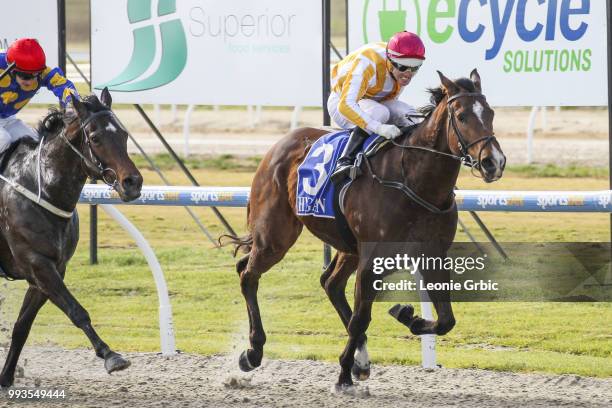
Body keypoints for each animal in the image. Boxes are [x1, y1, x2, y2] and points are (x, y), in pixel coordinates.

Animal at [0, 87, 142, 388]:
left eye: (124, 134)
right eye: (96, 138)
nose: (133, 182)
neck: (41, 187)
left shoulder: (49, 269)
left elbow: (22, 327)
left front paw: (5, 377)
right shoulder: (38, 263)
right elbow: (77, 311)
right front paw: (111, 355)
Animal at [225, 70, 506, 388]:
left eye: (491, 113)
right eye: (461, 116)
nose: (494, 162)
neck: (414, 180)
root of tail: (278, 145)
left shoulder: (432, 254)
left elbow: (446, 319)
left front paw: (408, 316)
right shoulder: (372, 260)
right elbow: (361, 317)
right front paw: (343, 374)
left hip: (347, 246)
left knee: (329, 283)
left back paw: (360, 358)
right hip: (275, 236)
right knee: (248, 274)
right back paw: (253, 351)